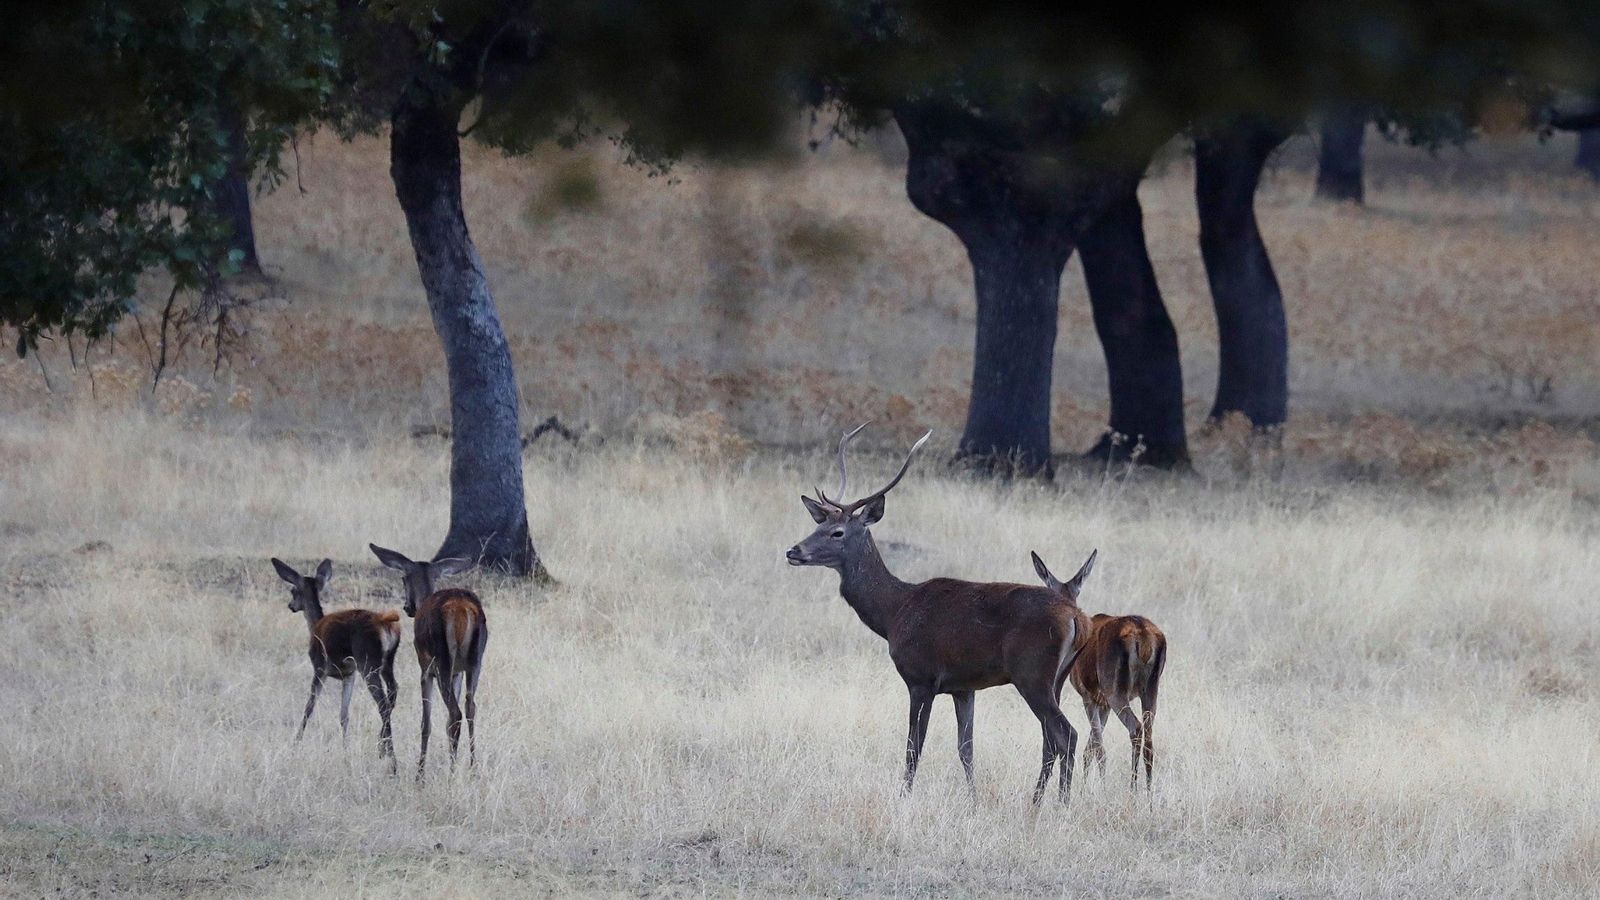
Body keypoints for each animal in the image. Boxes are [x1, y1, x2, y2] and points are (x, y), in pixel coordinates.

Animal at [271, 558, 401, 772]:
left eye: (293, 590)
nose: (290, 605)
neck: (314, 626)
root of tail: (386, 621)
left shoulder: (319, 667)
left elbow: (309, 708)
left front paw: (295, 744)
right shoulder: (349, 674)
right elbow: (344, 714)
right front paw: (345, 749)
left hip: (368, 661)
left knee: (382, 703)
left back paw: (391, 758)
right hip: (387, 661)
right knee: (393, 692)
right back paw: (381, 747)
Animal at [368, 545, 487, 778]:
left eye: (403, 578)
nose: (407, 607)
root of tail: (463, 609)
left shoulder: (425, 669)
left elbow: (426, 722)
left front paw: (420, 775)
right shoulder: (458, 672)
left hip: (441, 660)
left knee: (455, 712)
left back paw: (450, 774)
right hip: (475, 660)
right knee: (470, 707)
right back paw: (473, 768)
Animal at [785, 424, 1095, 805]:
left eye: (837, 532)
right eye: (817, 526)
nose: (793, 551)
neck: (894, 613)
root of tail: (1078, 618)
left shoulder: (921, 677)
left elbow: (913, 747)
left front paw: (903, 798)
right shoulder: (964, 687)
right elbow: (966, 748)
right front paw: (974, 801)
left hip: (1032, 673)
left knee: (1066, 733)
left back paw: (1058, 804)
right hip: (1058, 678)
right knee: (1051, 738)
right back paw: (1041, 801)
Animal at [1032, 551, 1167, 789]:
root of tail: (1144, 637)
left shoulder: (1089, 696)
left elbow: (1097, 748)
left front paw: (1096, 788)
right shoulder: (1102, 703)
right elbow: (1091, 747)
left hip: (1115, 689)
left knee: (1135, 728)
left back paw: (1132, 790)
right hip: (1151, 689)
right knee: (1150, 739)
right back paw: (1149, 793)